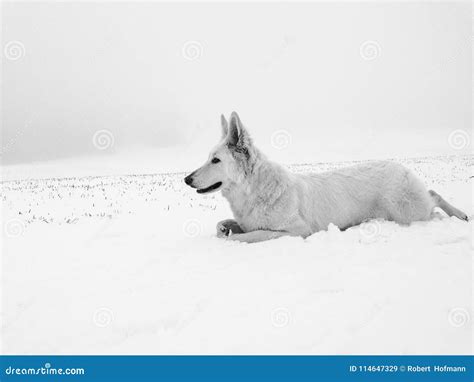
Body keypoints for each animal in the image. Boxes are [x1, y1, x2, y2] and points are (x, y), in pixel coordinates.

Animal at [184, 112, 466, 243]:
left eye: (215, 160)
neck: (253, 189)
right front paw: (225, 228)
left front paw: (233, 236)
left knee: (434, 198)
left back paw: (460, 214)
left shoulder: (296, 231)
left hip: (407, 212)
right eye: (208, 158)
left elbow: (246, 236)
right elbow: (222, 225)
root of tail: (399, 165)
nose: (186, 179)